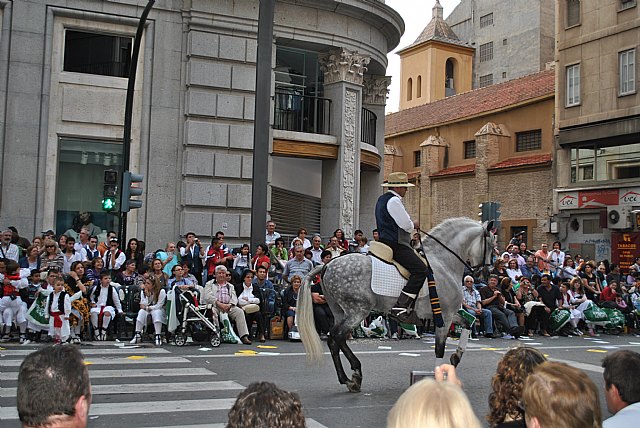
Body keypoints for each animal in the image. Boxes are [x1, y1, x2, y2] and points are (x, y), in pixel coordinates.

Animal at [298, 219, 496, 392]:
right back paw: (355, 374)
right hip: (357, 311)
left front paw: (456, 357)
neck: (443, 263)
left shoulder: (449, 314)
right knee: (337, 336)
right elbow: (439, 348)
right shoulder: (444, 317)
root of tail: (327, 265)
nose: (486, 272)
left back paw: (347, 379)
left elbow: (467, 323)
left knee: (334, 340)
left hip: (340, 311)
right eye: (492, 244)